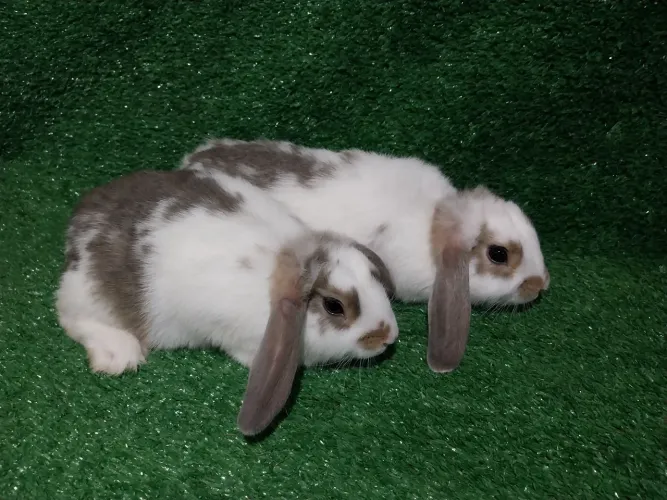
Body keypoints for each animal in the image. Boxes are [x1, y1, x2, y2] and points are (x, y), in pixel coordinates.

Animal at [55, 167, 400, 436]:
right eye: (334, 306)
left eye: (373, 275)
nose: (388, 336)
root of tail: (78, 226)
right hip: (91, 296)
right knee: (70, 316)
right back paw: (119, 354)